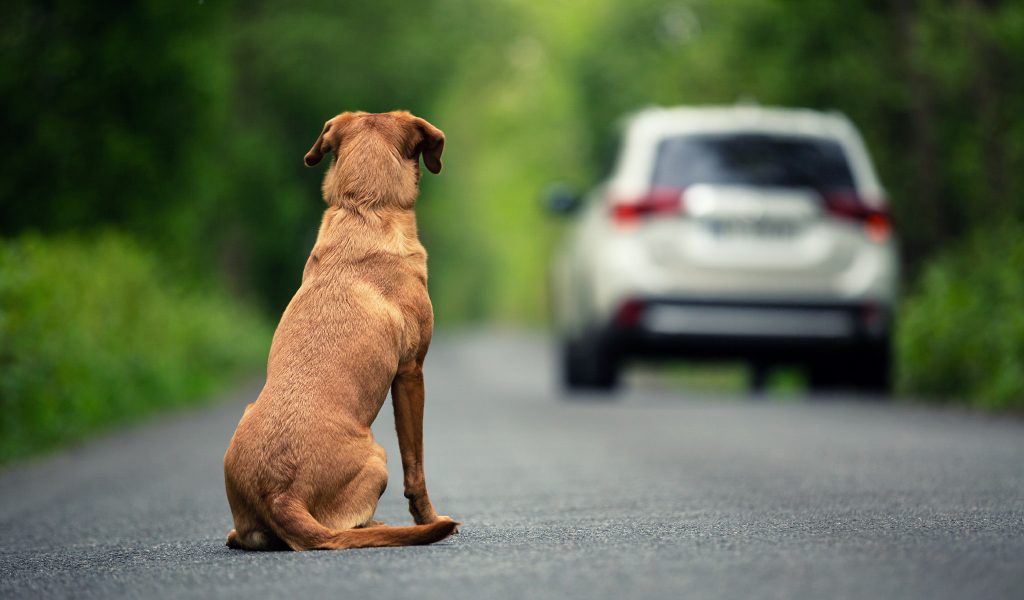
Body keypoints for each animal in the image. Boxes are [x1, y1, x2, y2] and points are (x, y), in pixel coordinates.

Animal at [223, 109, 456, 548]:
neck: (364, 208)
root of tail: (280, 494)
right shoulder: (410, 372)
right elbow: (416, 466)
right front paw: (428, 517)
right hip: (378, 457)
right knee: (350, 525)